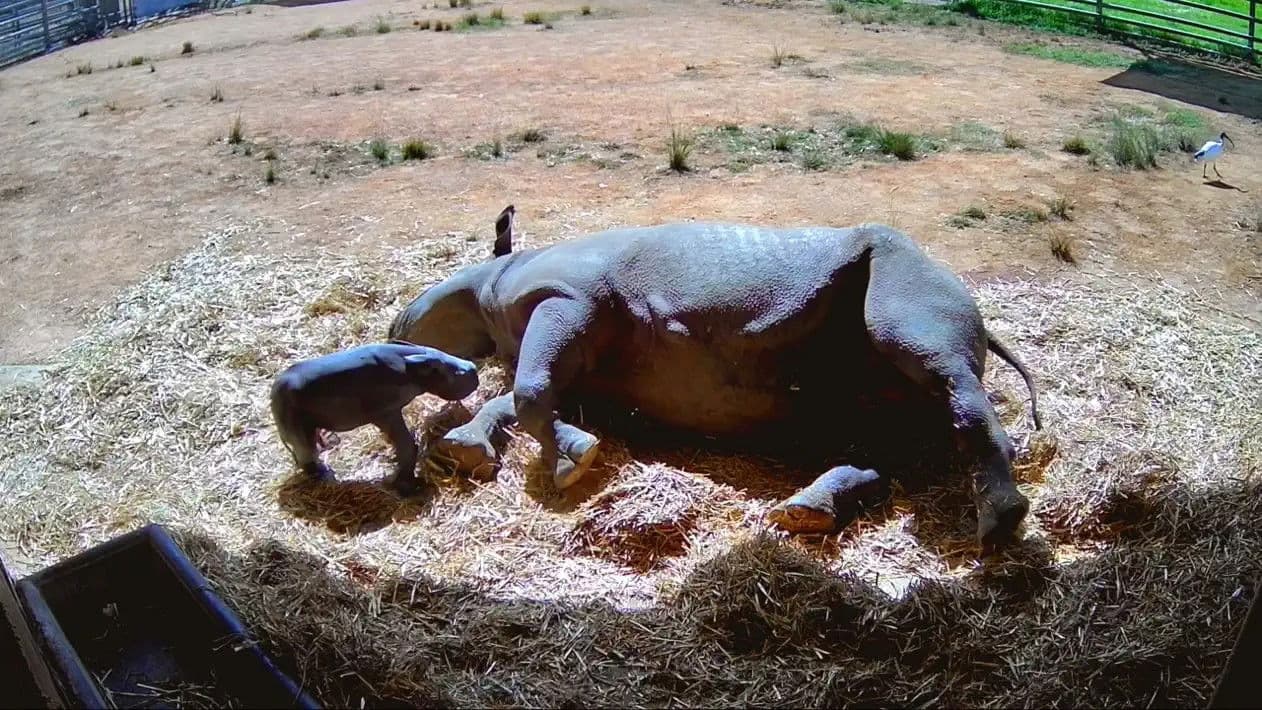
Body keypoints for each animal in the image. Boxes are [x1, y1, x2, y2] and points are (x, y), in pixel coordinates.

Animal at [389, 206, 1042, 553]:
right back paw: (802, 514)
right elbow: (522, 398)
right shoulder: (586, 373)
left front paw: (574, 462)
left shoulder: (571, 298)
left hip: (912, 275)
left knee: (931, 359)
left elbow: (528, 392)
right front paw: (467, 451)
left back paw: (997, 525)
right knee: (884, 428)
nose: (392, 325)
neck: (495, 284)